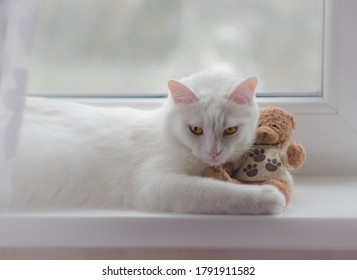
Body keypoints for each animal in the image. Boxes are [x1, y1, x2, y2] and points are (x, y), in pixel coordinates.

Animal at [9, 71, 286, 213]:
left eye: (230, 130)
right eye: (195, 129)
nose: (214, 153)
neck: (166, 134)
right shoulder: (154, 185)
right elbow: (214, 191)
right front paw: (266, 197)